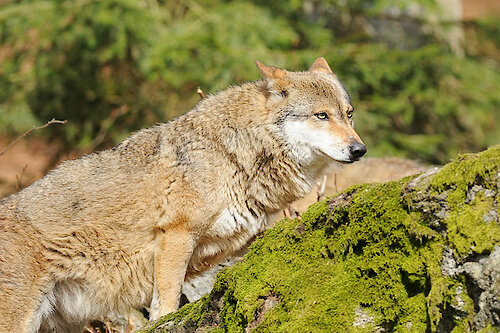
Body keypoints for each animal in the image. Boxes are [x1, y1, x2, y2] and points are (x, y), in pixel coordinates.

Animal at [0, 58, 366, 330]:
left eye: (349, 114)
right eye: (321, 115)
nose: (359, 149)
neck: (235, 155)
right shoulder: (177, 235)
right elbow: (166, 304)